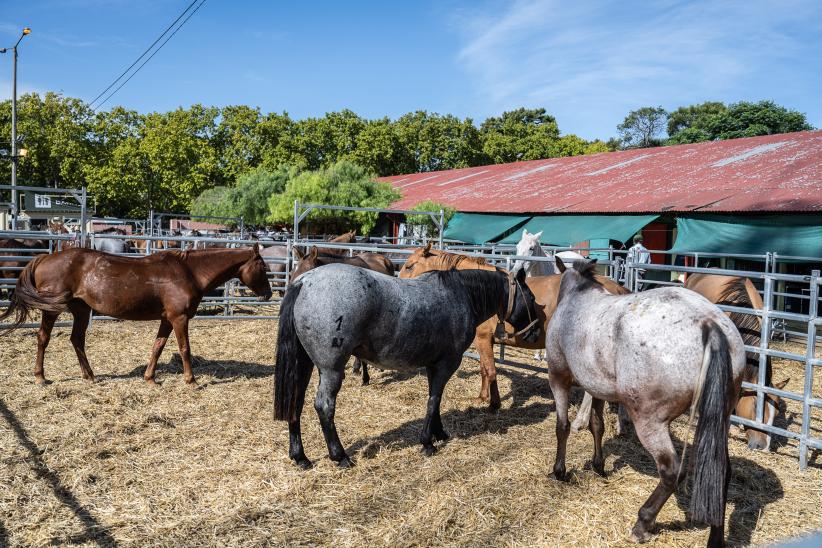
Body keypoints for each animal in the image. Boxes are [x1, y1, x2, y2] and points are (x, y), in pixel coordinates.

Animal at [1, 246, 276, 384]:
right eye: (263, 267)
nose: (269, 293)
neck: (189, 271)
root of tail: (45, 257)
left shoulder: (167, 319)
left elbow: (158, 346)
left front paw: (150, 378)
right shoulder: (179, 318)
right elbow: (184, 348)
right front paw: (191, 380)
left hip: (81, 310)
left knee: (76, 340)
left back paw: (90, 376)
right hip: (51, 311)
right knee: (43, 339)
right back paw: (40, 377)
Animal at [276, 264, 544, 466]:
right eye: (531, 298)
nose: (535, 333)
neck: (461, 295)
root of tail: (304, 282)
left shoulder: (433, 365)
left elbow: (435, 400)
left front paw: (439, 433)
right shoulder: (447, 364)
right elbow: (434, 399)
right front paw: (427, 442)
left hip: (304, 364)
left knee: (295, 402)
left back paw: (300, 457)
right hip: (331, 370)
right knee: (324, 406)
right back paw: (339, 456)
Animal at [402, 246, 636, 408]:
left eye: (409, 265)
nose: (399, 282)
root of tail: (617, 288)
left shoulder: (482, 339)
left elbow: (490, 370)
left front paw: (493, 403)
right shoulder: (485, 341)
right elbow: (485, 370)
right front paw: (484, 397)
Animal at [548, 260, 748, 544]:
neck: (578, 297)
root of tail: (710, 325)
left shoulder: (558, 377)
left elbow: (562, 426)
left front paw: (560, 470)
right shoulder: (597, 388)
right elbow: (597, 425)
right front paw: (598, 466)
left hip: (649, 421)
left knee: (672, 470)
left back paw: (642, 523)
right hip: (720, 417)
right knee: (719, 471)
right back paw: (715, 539)